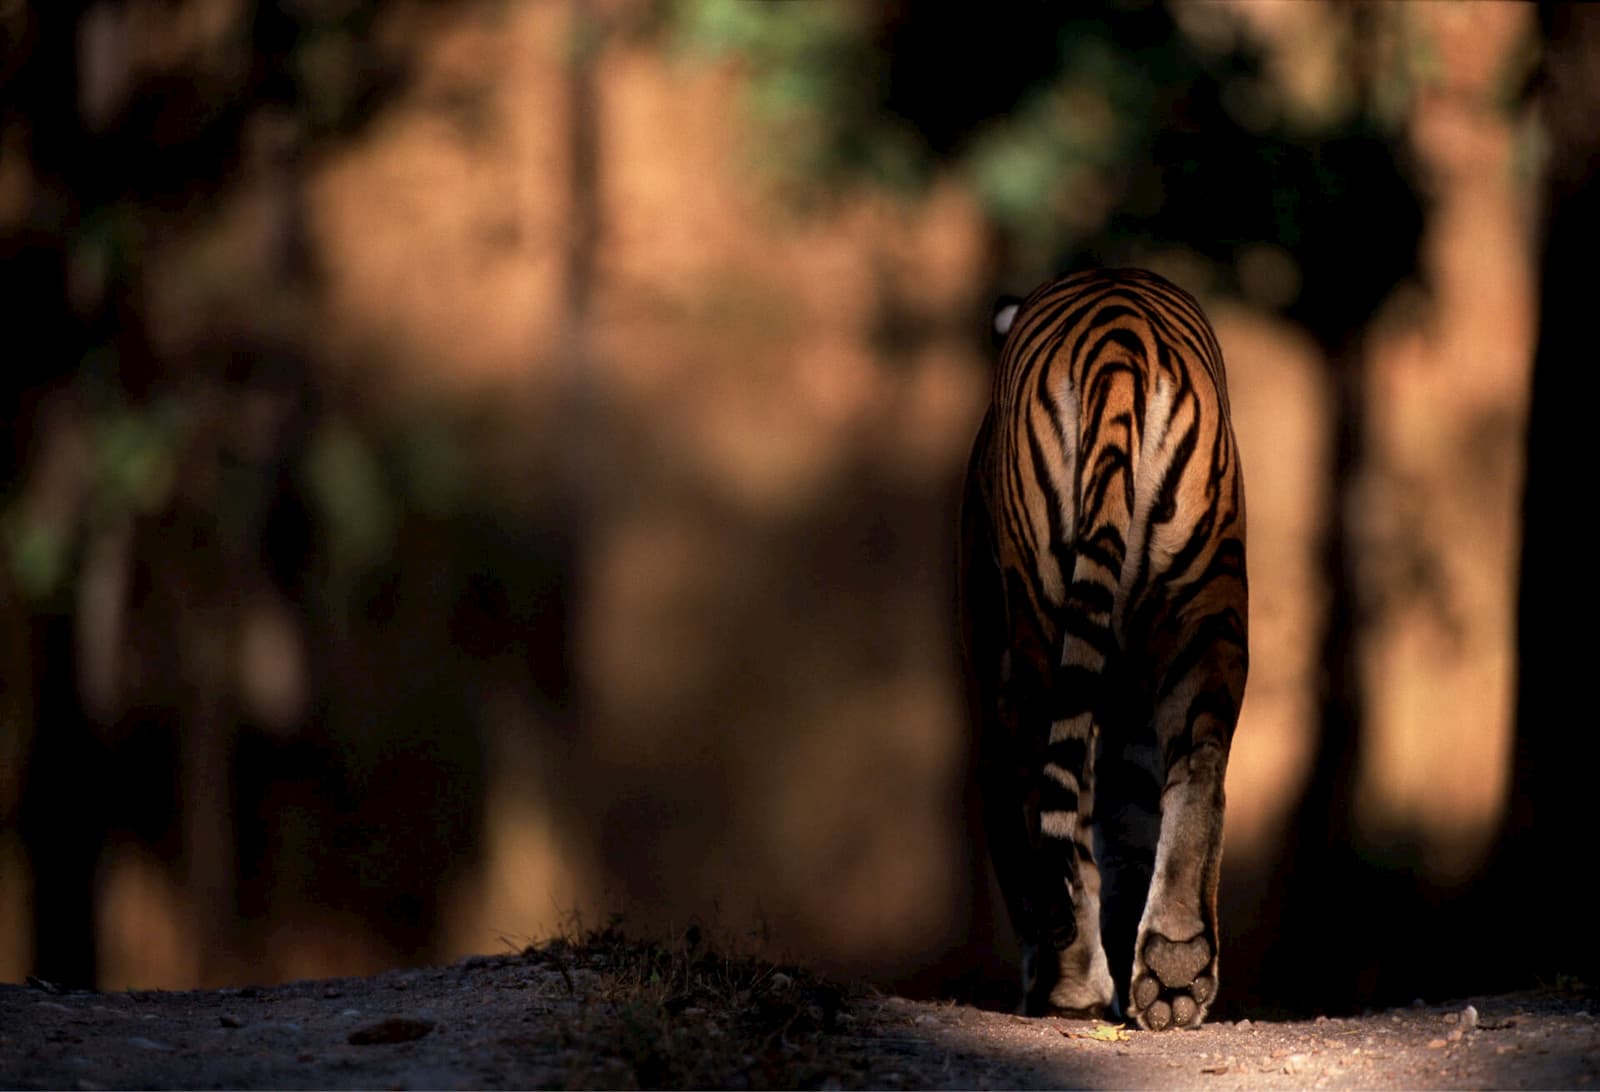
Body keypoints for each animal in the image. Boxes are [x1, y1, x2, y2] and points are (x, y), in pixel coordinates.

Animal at [953, 265, 1241, 1031]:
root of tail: (1120, 342)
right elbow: (1131, 824)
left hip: (1038, 634)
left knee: (1048, 804)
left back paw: (1071, 984)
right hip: (1206, 605)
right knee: (1199, 763)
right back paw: (1174, 970)